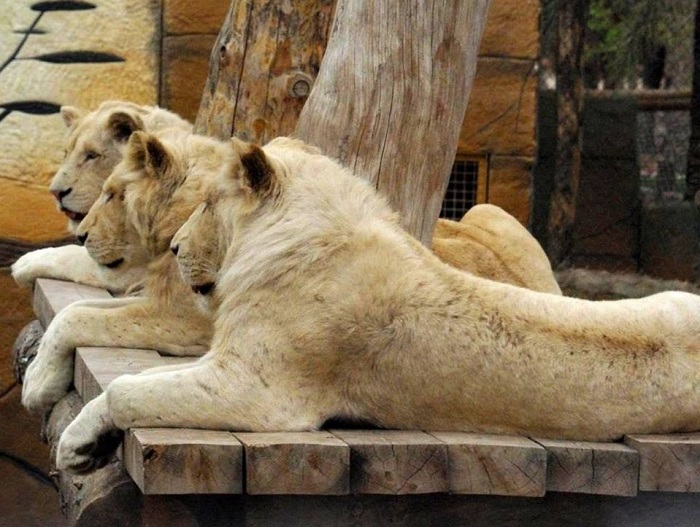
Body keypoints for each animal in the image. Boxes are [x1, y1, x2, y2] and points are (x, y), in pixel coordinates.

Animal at [12, 101, 191, 294]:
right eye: (66, 153)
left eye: (92, 155)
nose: (56, 192)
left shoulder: (140, 266)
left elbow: (78, 257)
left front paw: (27, 261)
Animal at [57, 137, 700, 474]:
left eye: (211, 204)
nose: (175, 247)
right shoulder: (226, 361)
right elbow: (142, 380)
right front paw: (83, 440)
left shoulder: (258, 392)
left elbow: (128, 390)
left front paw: (74, 444)